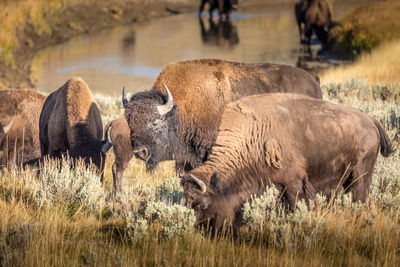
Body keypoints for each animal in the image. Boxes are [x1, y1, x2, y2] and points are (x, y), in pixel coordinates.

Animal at [111, 59, 322, 193]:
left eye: (155, 121)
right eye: (130, 122)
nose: (140, 152)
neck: (183, 108)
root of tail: (313, 78)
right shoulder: (185, 159)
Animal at [183, 93, 396, 231]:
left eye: (201, 205)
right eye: (186, 202)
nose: (202, 231)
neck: (252, 135)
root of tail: (370, 119)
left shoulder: (293, 183)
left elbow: (294, 204)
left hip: (360, 175)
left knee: (360, 197)